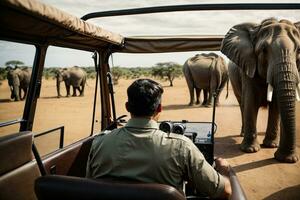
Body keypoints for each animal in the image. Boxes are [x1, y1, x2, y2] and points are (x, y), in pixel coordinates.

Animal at [220, 18, 300, 163]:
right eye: (264, 50)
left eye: (299, 50)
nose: (291, 159)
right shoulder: (248, 66)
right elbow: (251, 102)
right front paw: (250, 150)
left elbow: (276, 105)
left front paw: (272, 146)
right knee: (242, 104)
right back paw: (242, 134)